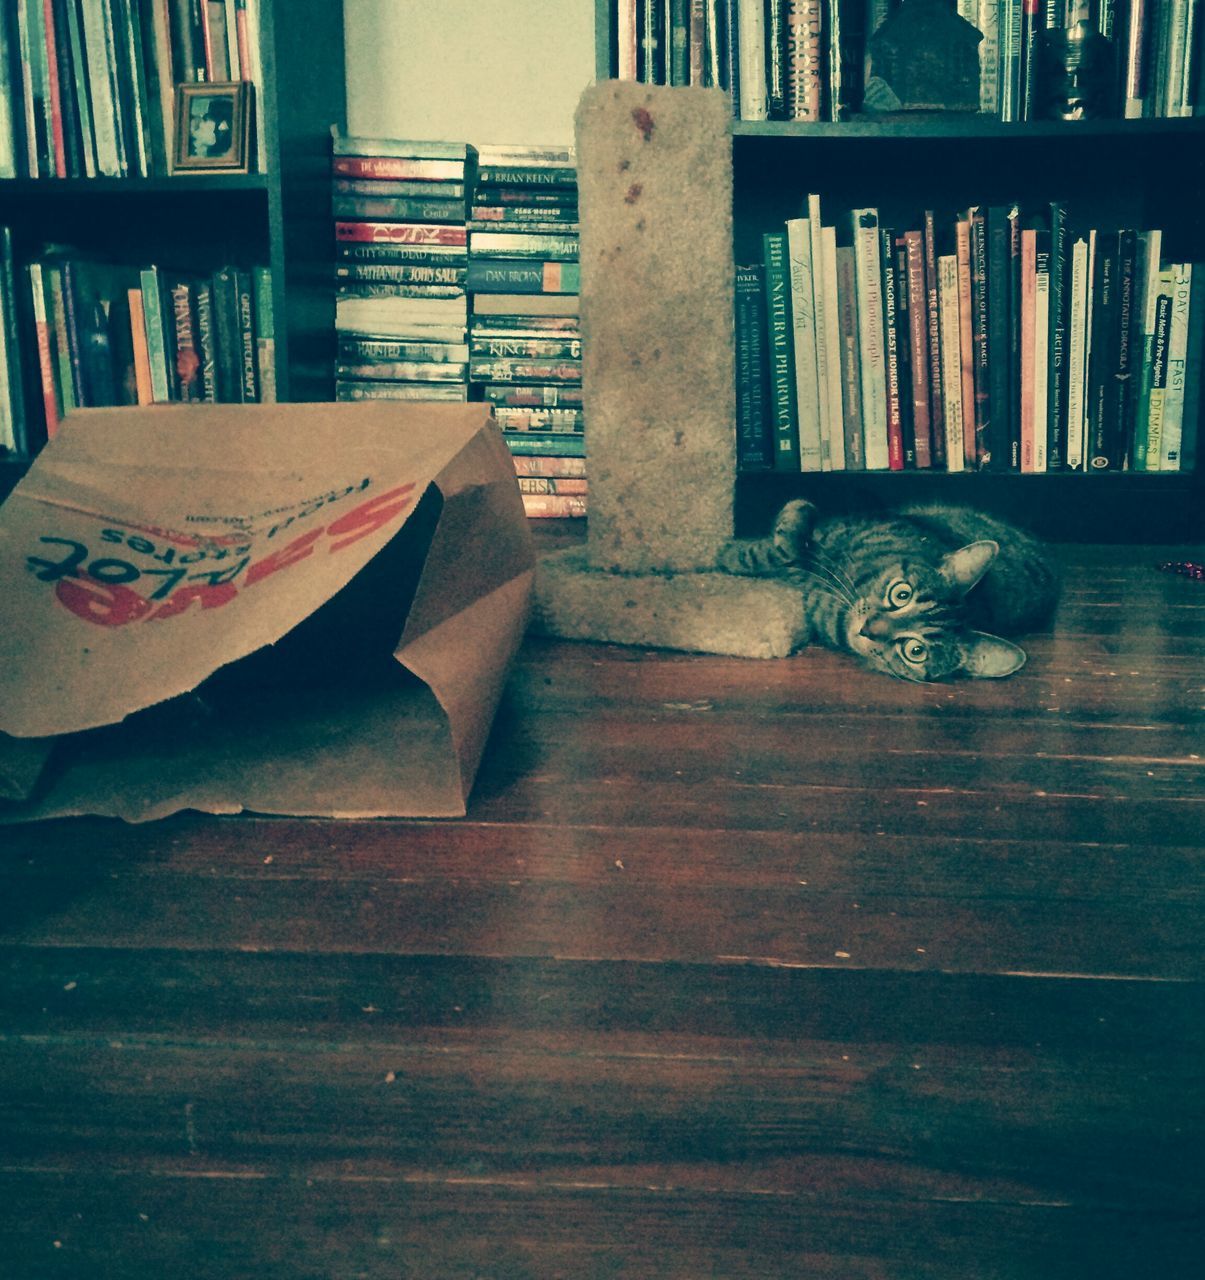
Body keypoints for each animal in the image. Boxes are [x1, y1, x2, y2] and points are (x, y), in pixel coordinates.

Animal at [717, 496, 1060, 680]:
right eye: (901, 594)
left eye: (915, 651)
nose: (867, 629)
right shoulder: (842, 528)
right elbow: (793, 541)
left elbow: (778, 557)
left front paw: (726, 553)